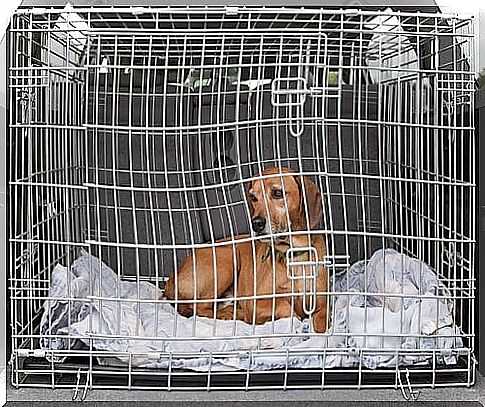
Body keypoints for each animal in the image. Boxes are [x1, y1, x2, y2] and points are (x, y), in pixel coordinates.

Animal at [166, 167, 328, 334]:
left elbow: (322, 326)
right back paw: (231, 313)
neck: (293, 255)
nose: (256, 223)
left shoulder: (322, 307)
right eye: (253, 197)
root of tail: (172, 278)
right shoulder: (256, 303)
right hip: (227, 258)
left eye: (278, 193)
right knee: (200, 308)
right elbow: (285, 307)